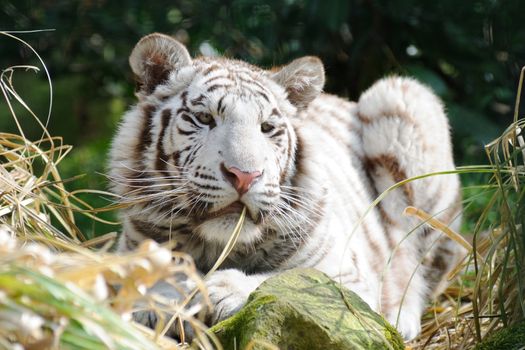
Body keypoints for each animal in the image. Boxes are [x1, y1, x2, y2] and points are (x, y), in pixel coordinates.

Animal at [108, 32, 460, 340]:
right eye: (205, 118)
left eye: (267, 128)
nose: (244, 175)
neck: (218, 245)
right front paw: (158, 300)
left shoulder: (349, 278)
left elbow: (288, 279)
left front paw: (221, 291)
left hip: (398, 97)